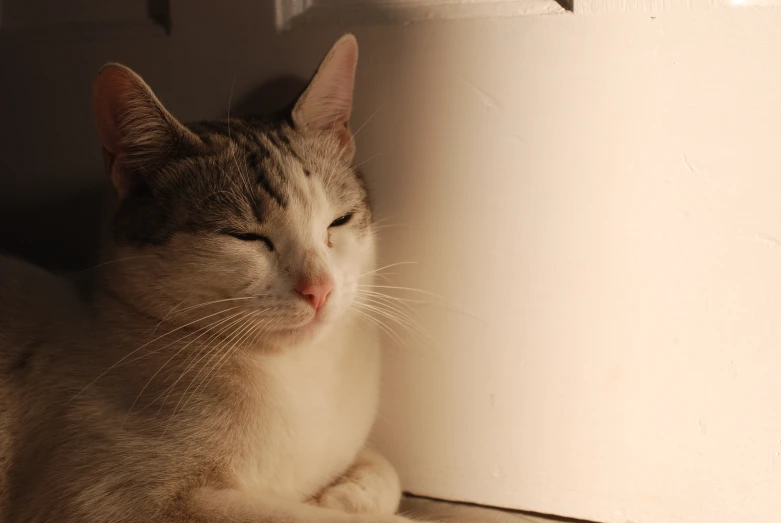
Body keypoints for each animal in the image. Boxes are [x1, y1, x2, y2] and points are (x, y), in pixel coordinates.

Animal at [0, 34, 414, 523]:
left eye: (338, 221)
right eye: (246, 236)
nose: (320, 289)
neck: (299, 374)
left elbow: (386, 472)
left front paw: (343, 493)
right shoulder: (122, 501)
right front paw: (338, 503)